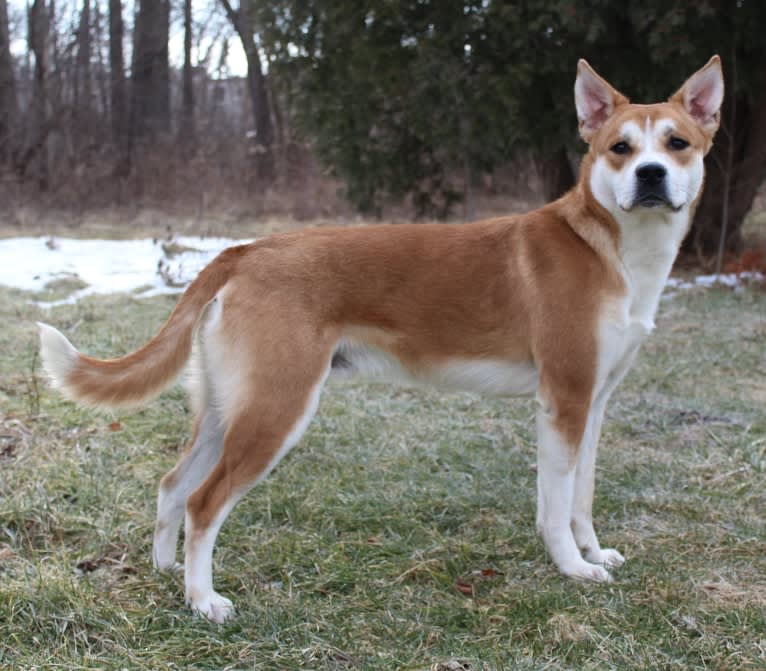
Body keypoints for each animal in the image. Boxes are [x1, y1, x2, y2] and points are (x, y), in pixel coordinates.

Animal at [39, 55, 728, 624]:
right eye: (619, 148)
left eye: (676, 143)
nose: (649, 175)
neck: (611, 246)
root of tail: (246, 251)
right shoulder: (563, 400)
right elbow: (555, 506)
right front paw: (572, 568)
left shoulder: (594, 403)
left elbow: (581, 497)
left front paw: (594, 552)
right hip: (275, 410)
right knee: (204, 504)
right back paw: (205, 601)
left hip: (223, 408)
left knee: (172, 486)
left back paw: (169, 576)